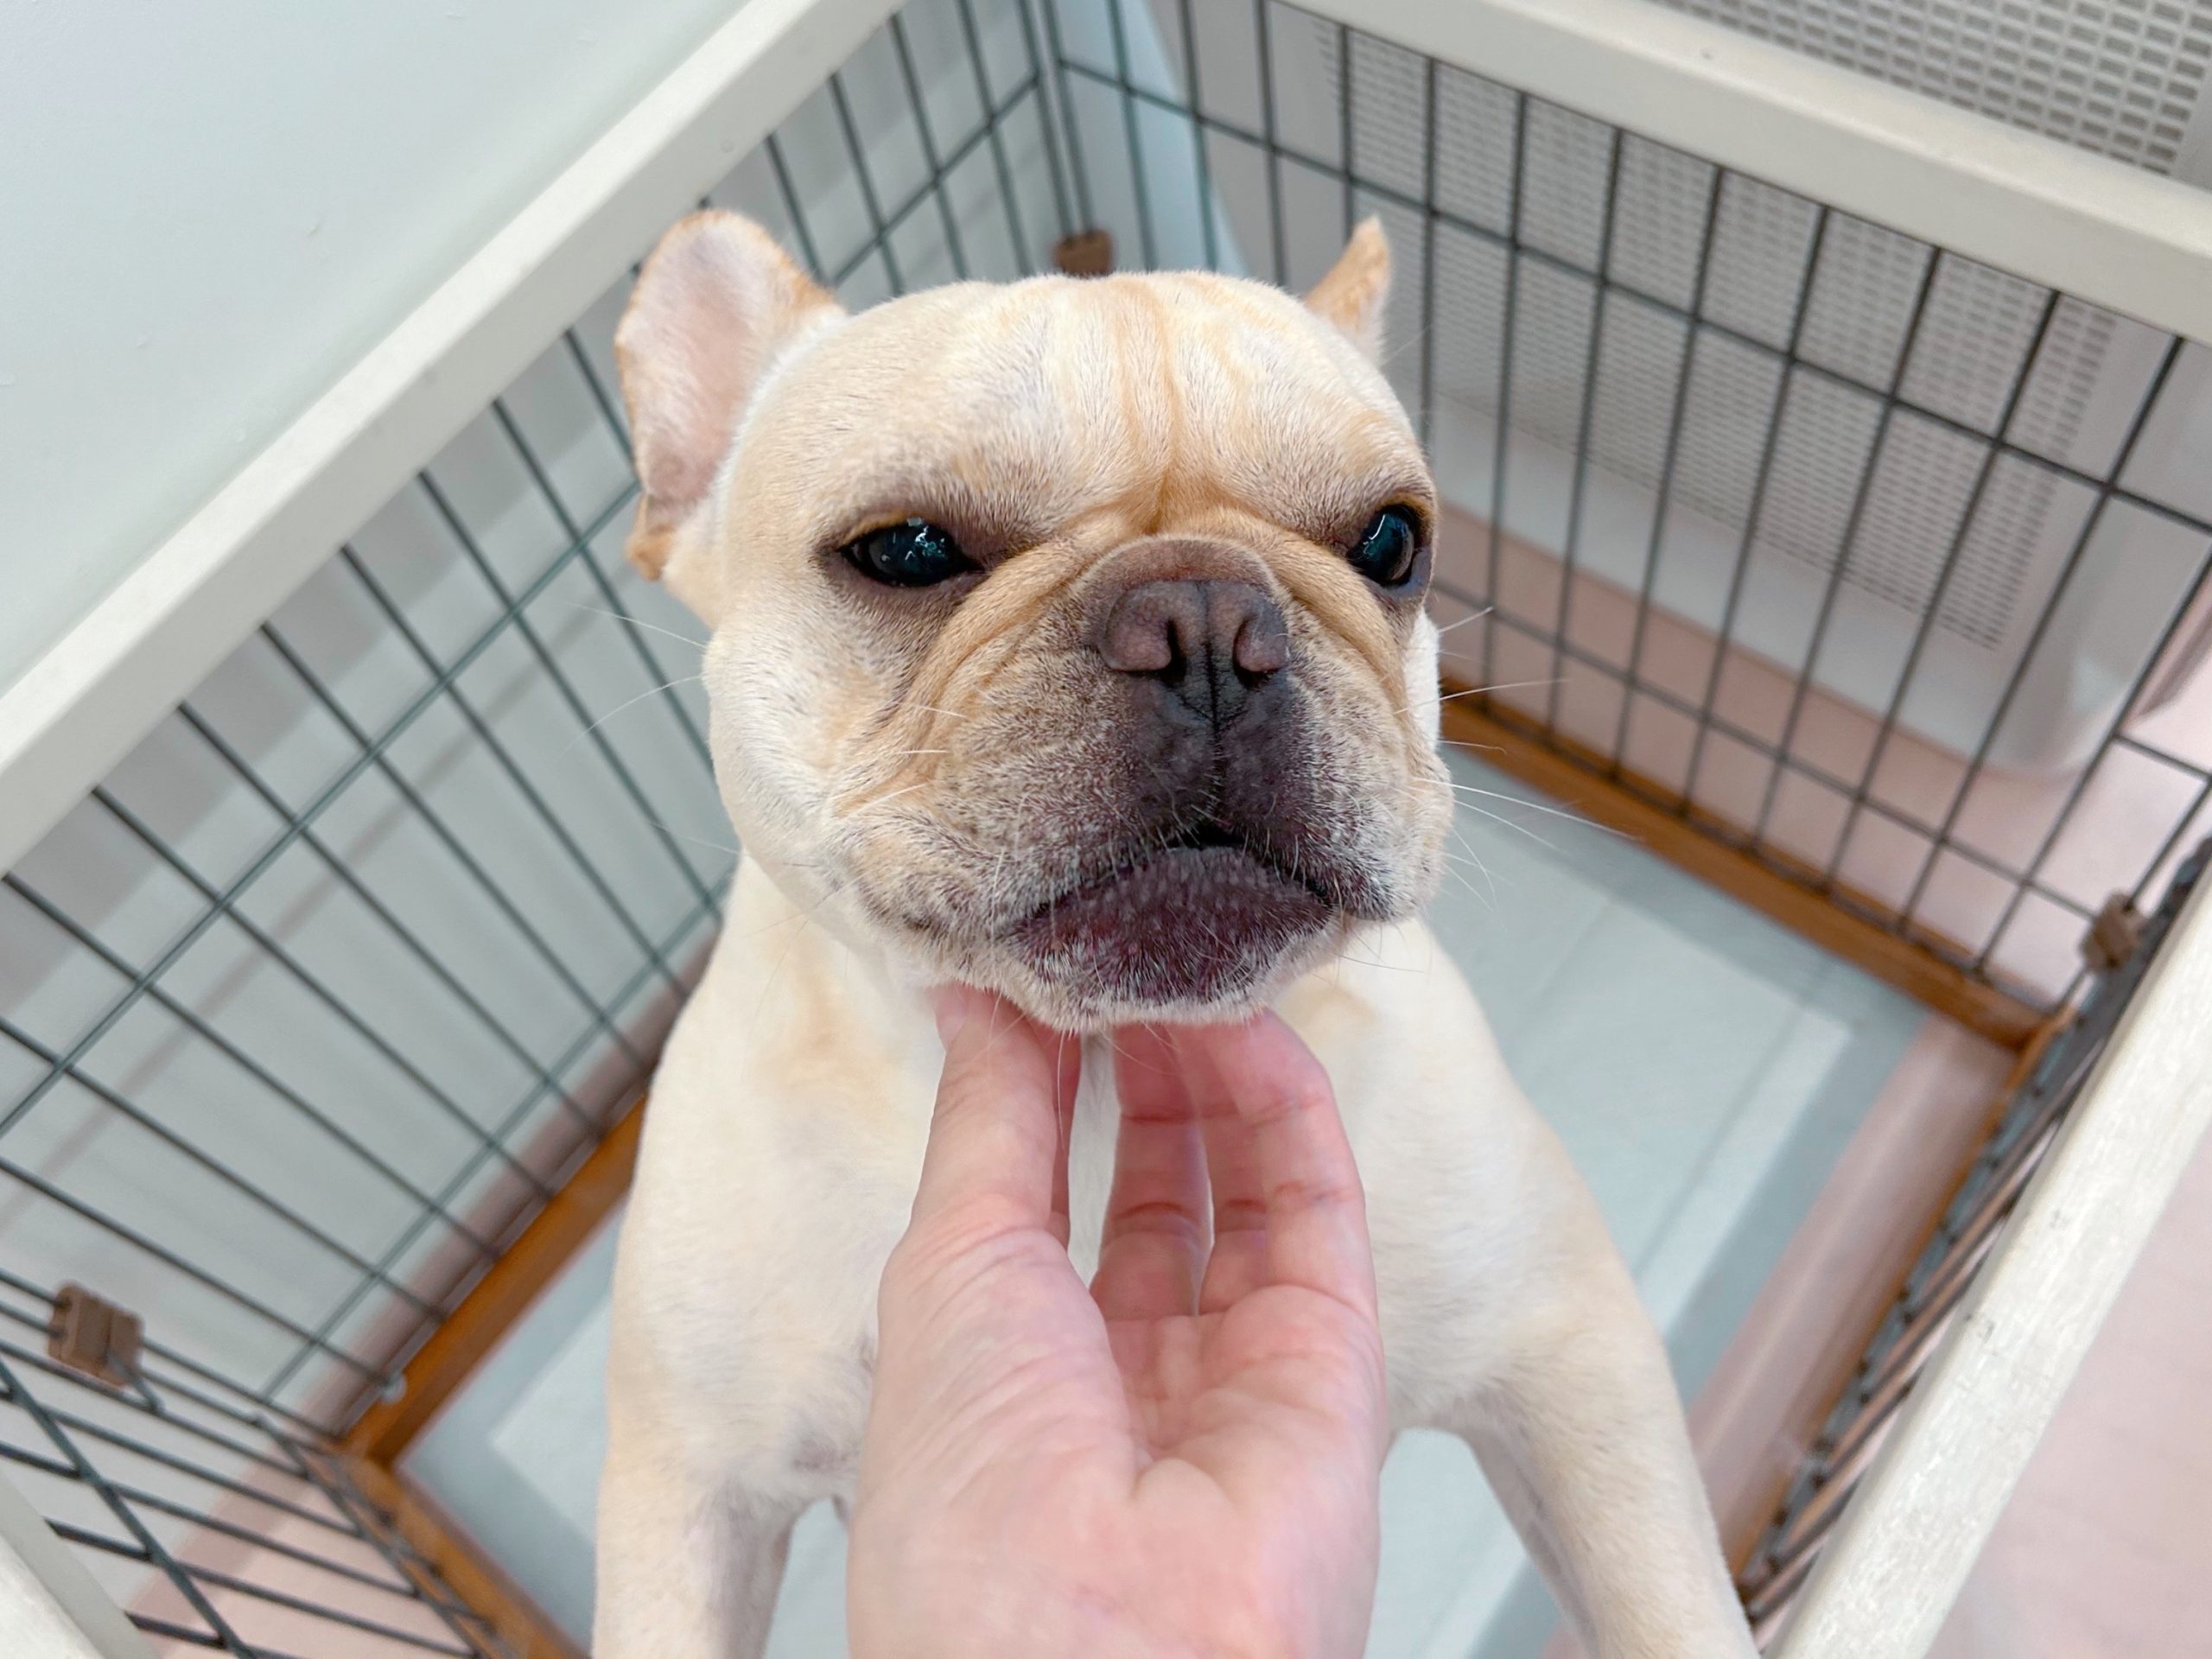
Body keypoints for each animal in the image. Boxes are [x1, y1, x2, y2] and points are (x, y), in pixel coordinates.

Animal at [591, 209, 1756, 1657]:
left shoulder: (1569, 1350)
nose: (1208, 618)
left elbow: (1668, 1599)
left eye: (1392, 543)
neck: (1105, 1068)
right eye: (907, 550)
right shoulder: (688, 1493)